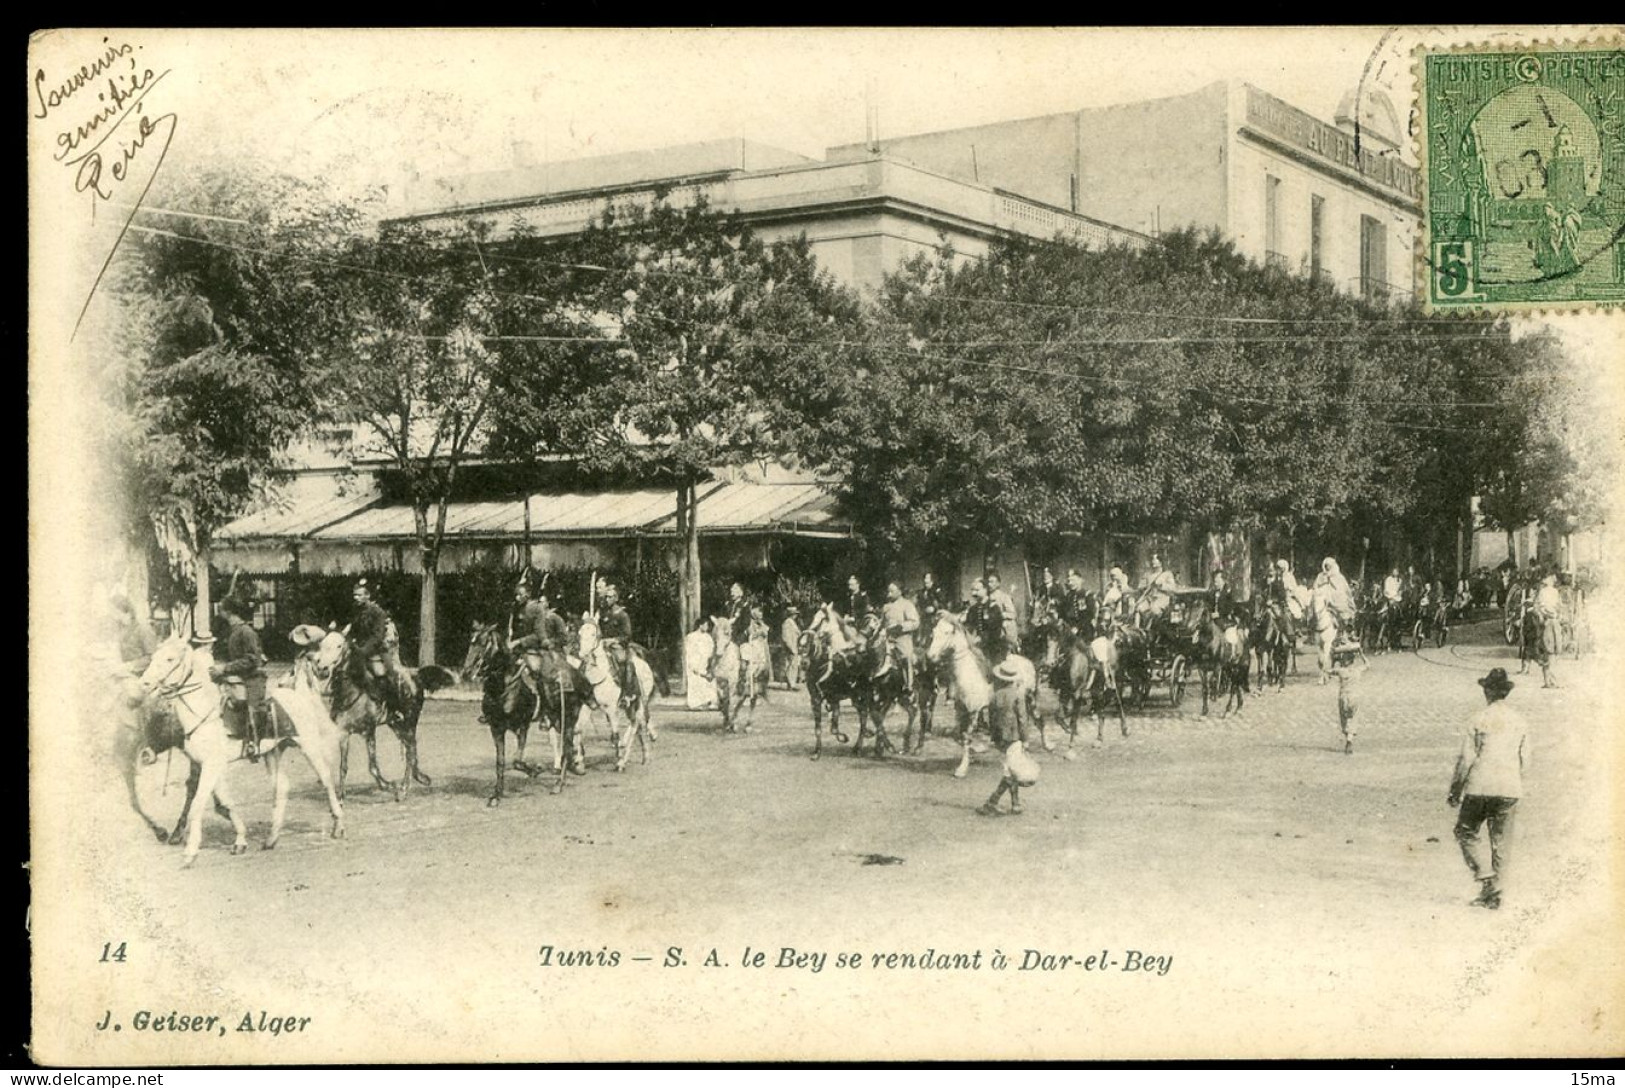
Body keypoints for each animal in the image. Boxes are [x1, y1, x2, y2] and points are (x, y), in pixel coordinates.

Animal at [138, 639, 346, 870]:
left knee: (326, 779)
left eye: (169, 659)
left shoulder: (211, 765)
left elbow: (198, 804)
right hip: (273, 752)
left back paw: (338, 825)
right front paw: (240, 840)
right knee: (282, 787)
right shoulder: (207, 765)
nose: (144, 683)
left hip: (309, 745)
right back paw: (271, 839)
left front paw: (190, 853)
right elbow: (225, 803)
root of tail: (300, 696)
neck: (205, 713)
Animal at [464, 623, 591, 808]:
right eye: (470, 642)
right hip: (556, 719)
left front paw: (536, 770)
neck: (504, 684)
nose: (466, 672)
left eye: (482, 643)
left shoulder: (523, 725)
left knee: (567, 747)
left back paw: (559, 784)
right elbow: (500, 762)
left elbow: (517, 760)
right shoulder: (496, 728)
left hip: (568, 717)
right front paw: (496, 795)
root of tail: (577, 675)